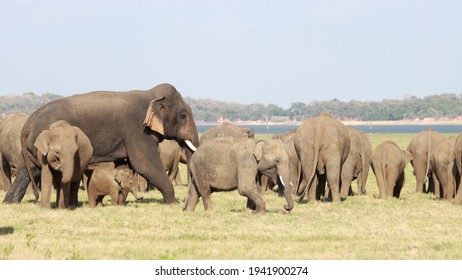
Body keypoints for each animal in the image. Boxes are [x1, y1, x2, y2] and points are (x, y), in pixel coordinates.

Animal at [3, 83, 199, 203]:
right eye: (183, 116)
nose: (183, 199)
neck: (150, 94)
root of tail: (30, 120)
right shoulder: (137, 130)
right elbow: (144, 164)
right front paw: (173, 202)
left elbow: (124, 165)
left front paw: (121, 200)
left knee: (28, 170)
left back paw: (10, 202)